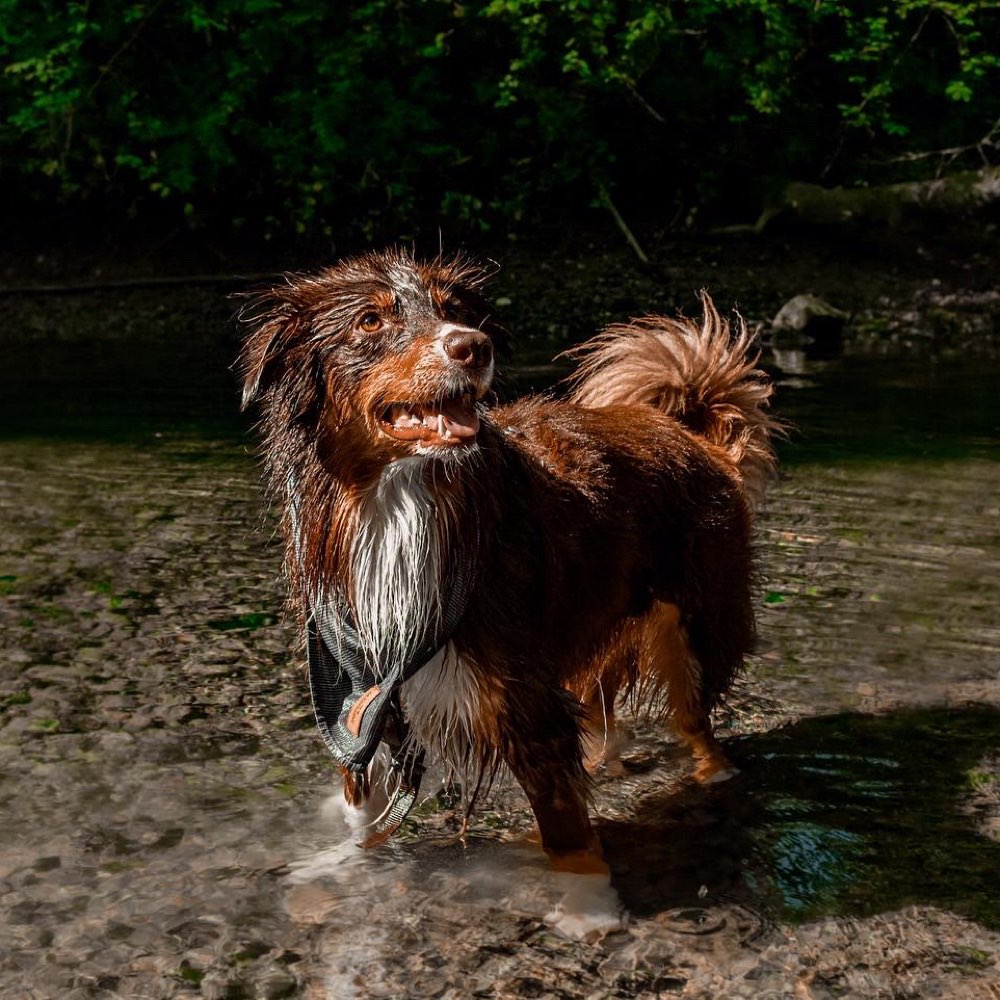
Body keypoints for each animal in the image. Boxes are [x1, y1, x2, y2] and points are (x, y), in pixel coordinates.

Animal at [238, 248, 776, 868]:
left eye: (453, 311)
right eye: (370, 321)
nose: (473, 345)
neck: (397, 507)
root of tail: (694, 437)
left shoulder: (525, 706)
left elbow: (568, 843)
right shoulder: (359, 697)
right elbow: (361, 813)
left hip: (695, 628)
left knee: (696, 723)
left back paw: (712, 778)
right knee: (604, 714)